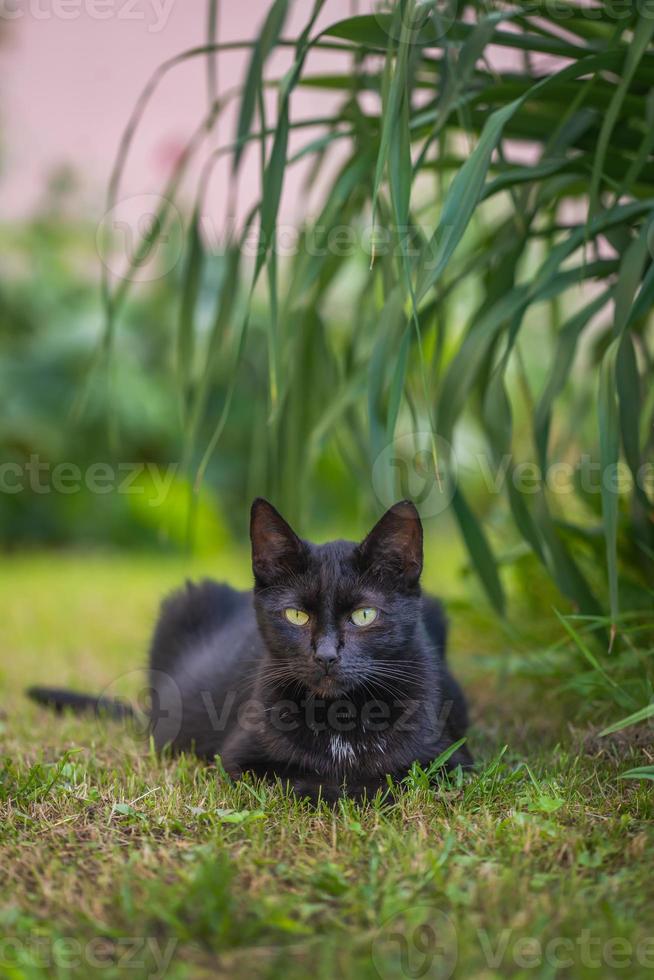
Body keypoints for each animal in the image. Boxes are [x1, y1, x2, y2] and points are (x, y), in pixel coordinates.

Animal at [29, 502, 472, 800]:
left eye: (364, 615)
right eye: (296, 615)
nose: (326, 655)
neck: (342, 718)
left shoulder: (451, 760)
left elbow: (395, 777)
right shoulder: (241, 759)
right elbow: (305, 780)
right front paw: (336, 786)